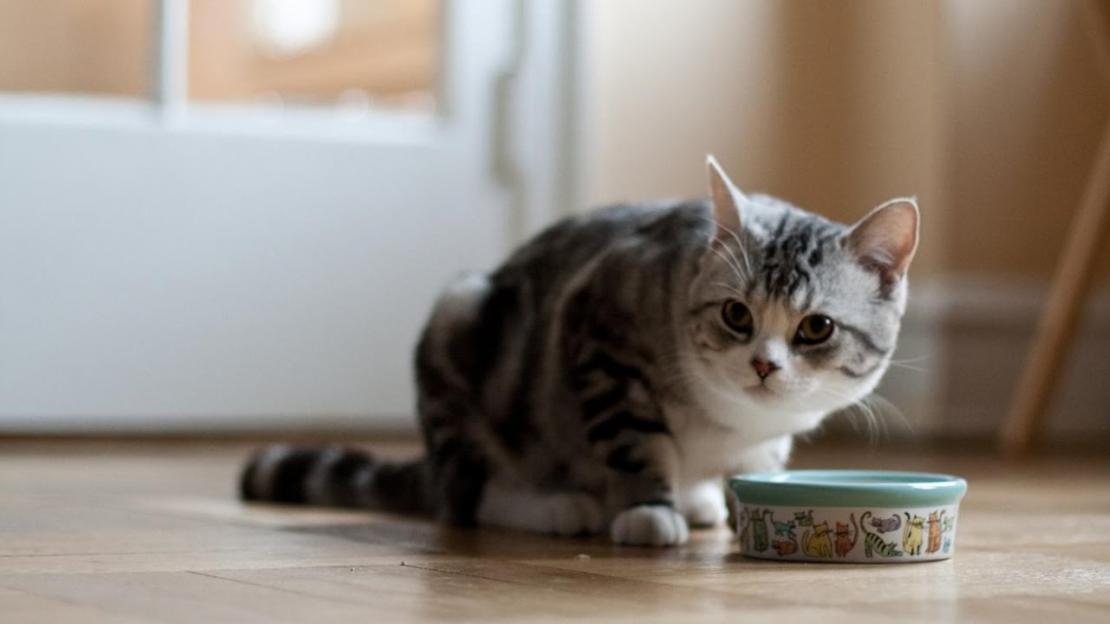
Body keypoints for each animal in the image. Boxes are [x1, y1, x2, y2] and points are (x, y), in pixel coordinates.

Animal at [236, 155, 919, 544]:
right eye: (735, 314)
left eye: (816, 328)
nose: (762, 364)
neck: (732, 419)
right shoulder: (600, 333)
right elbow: (633, 438)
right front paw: (647, 510)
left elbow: (760, 467)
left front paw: (728, 496)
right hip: (459, 321)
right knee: (465, 496)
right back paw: (558, 506)